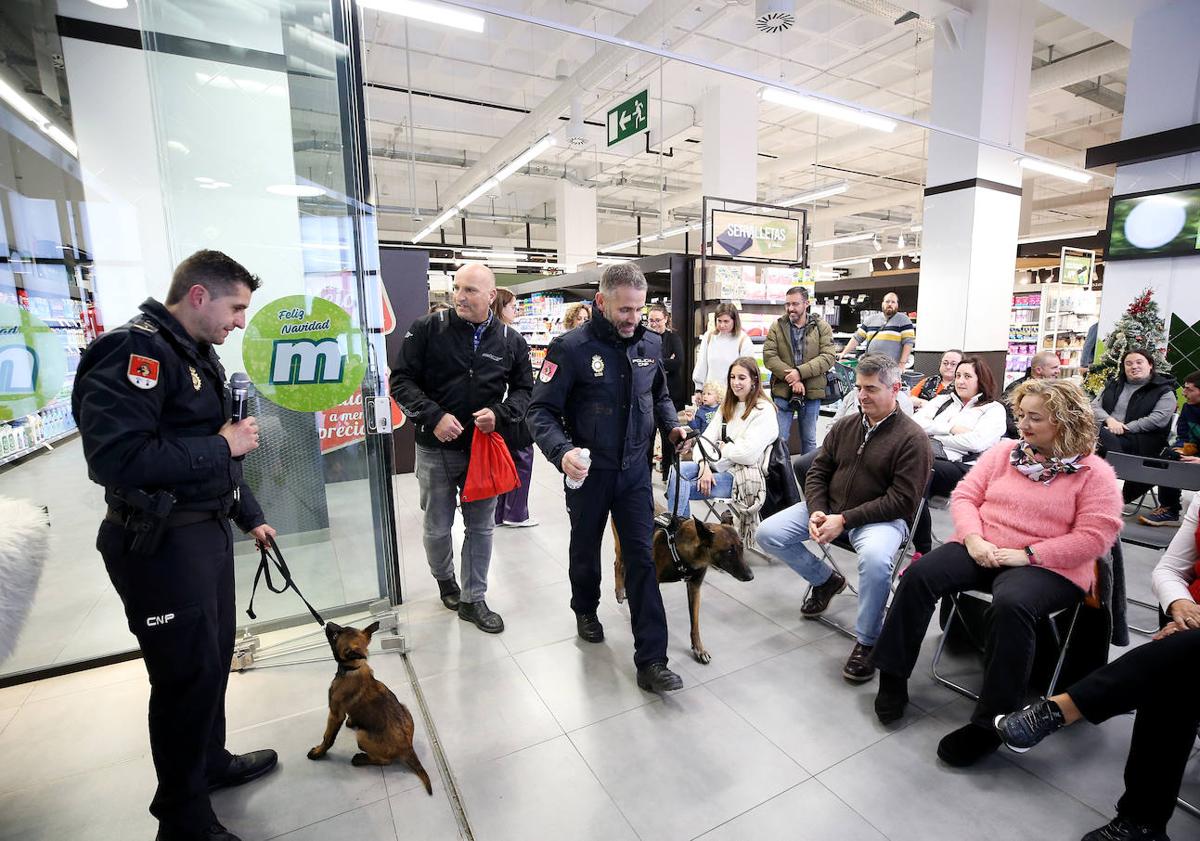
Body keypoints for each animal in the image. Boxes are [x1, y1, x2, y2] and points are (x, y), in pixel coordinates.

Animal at [75, 249, 278, 839]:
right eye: (237, 307)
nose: (238, 324)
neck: (176, 336)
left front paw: (258, 524)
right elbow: (125, 448)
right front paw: (234, 436)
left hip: (218, 604)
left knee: (215, 665)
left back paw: (226, 767)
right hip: (177, 604)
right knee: (193, 681)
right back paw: (197, 820)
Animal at [307, 619, 434, 791]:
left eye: (335, 636)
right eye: (342, 627)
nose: (329, 623)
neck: (353, 668)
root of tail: (408, 747)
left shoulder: (334, 714)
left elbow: (328, 737)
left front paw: (319, 752)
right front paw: (352, 721)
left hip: (361, 736)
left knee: (385, 761)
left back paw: (361, 759)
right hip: (405, 708)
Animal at [530, 260, 691, 691]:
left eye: (637, 310)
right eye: (625, 310)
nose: (637, 322)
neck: (617, 343)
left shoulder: (634, 493)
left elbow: (657, 394)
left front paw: (654, 664)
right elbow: (542, 410)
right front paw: (571, 459)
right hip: (587, 512)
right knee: (584, 551)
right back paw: (587, 617)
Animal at [614, 515, 753, 667]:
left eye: (742, 547)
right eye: (729, 551)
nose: (751, 576)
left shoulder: (694, 588)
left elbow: (695, 623)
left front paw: (699, 649)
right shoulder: (654, 582)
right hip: (622, 546)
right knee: (618, 563)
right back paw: (620, 591)